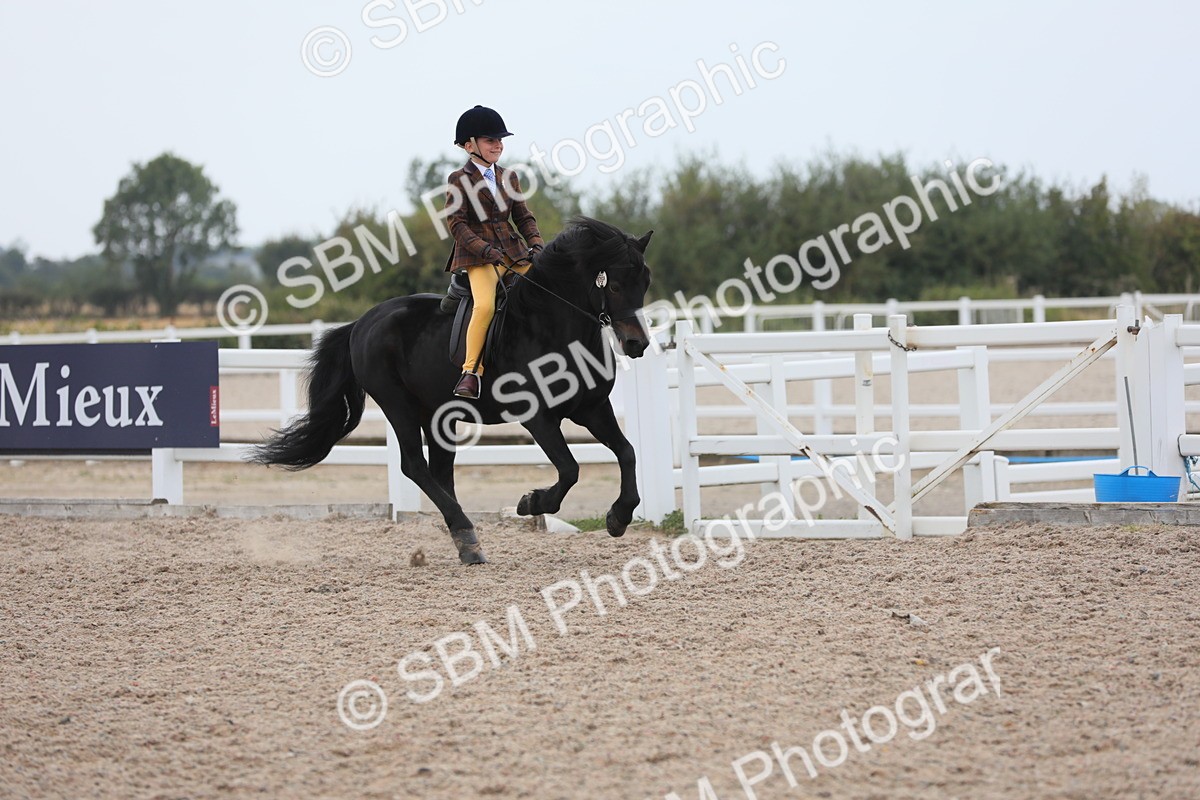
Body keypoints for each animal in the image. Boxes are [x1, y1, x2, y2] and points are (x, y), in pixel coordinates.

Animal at [248, 217, 654, 564]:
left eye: (645, 282)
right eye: (614, 285)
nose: (638, 344)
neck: (552, 325)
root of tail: (362, 322)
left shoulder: (593, 408)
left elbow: (628, 452)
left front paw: (619, 517)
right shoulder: (537, 417)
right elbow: (570, 469)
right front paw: (531, 503)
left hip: (438, 414)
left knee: (440, 471)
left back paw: (466, 542)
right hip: (398, 406)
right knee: (414, 465)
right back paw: (465, 531)